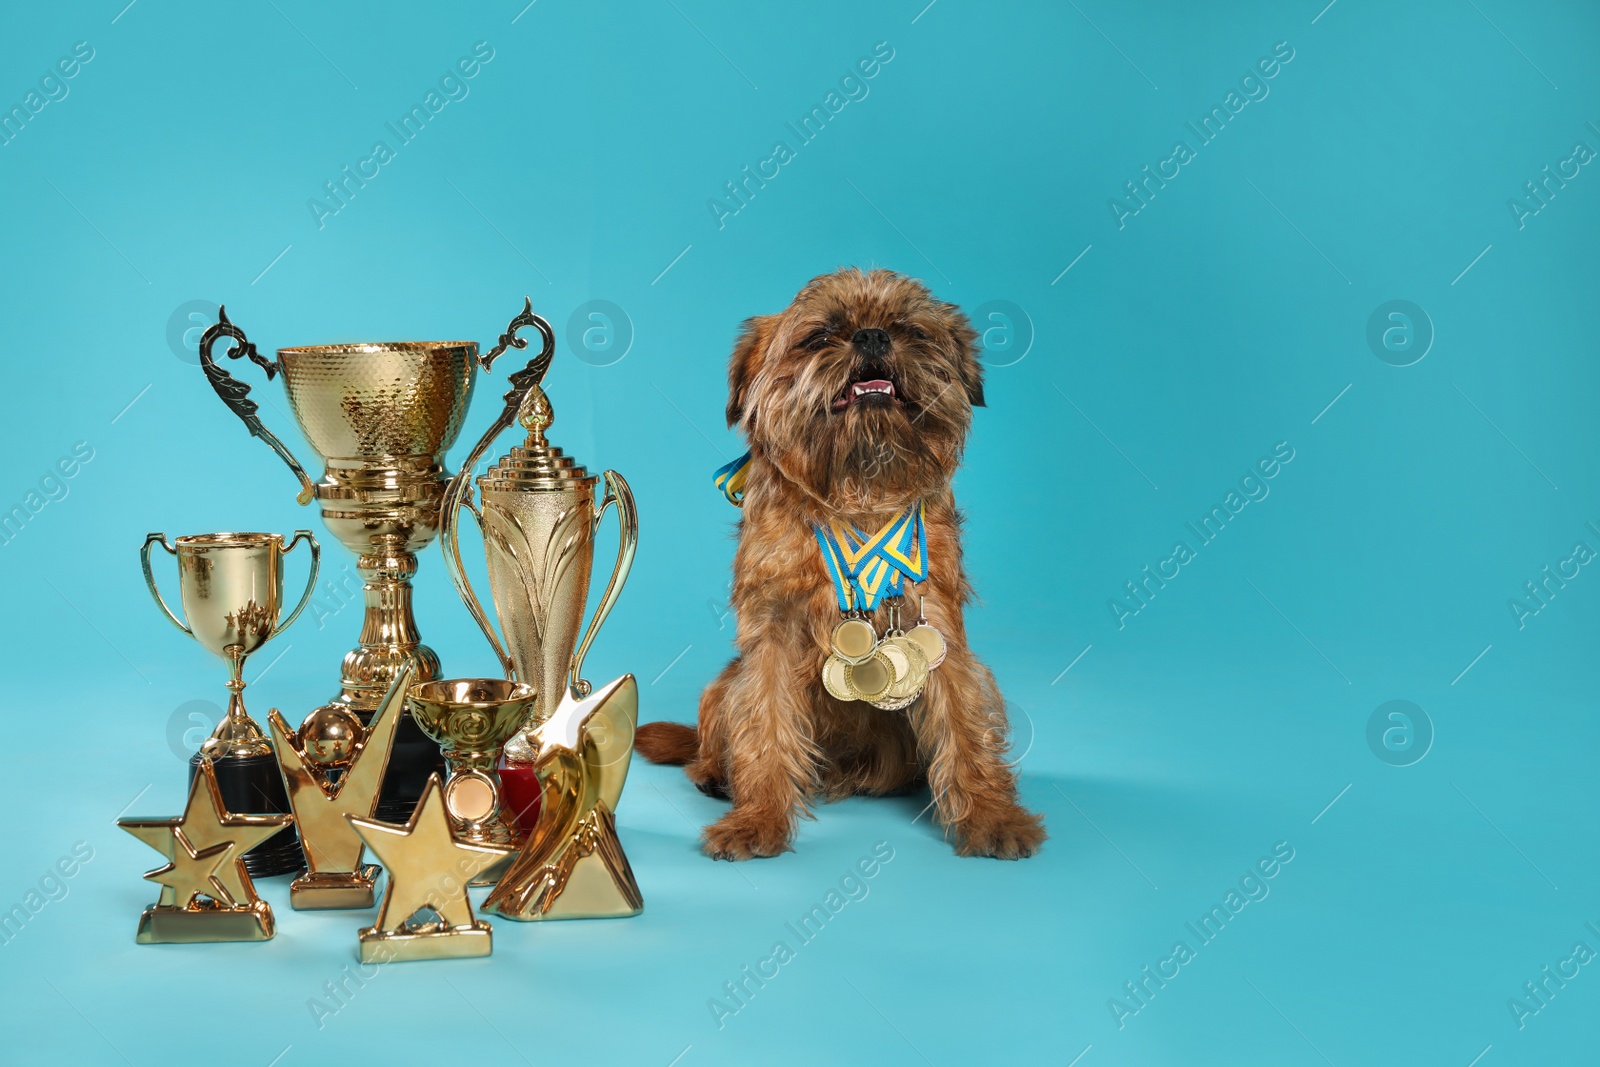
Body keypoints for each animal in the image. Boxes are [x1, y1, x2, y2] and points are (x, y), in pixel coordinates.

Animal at [636, 271, 1049, 863]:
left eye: (909, 330)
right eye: (819, 336)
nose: (873, 336)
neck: (857, 496)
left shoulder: (939, 627)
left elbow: (964, 724)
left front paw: (991, 814)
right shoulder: (771, 638)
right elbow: (763, 726)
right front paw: (758, 818)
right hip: (722, 684)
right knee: (714, 739)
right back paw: (716, 774)